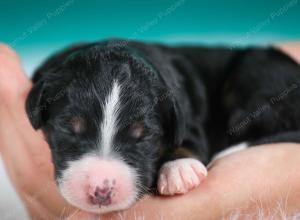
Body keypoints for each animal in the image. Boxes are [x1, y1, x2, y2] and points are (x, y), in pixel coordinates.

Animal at [25, 39, 300, 213]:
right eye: (69, 129)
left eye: (144, 137)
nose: (101, 191)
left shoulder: (189, 119)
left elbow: (188, 142)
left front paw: (179, 170)